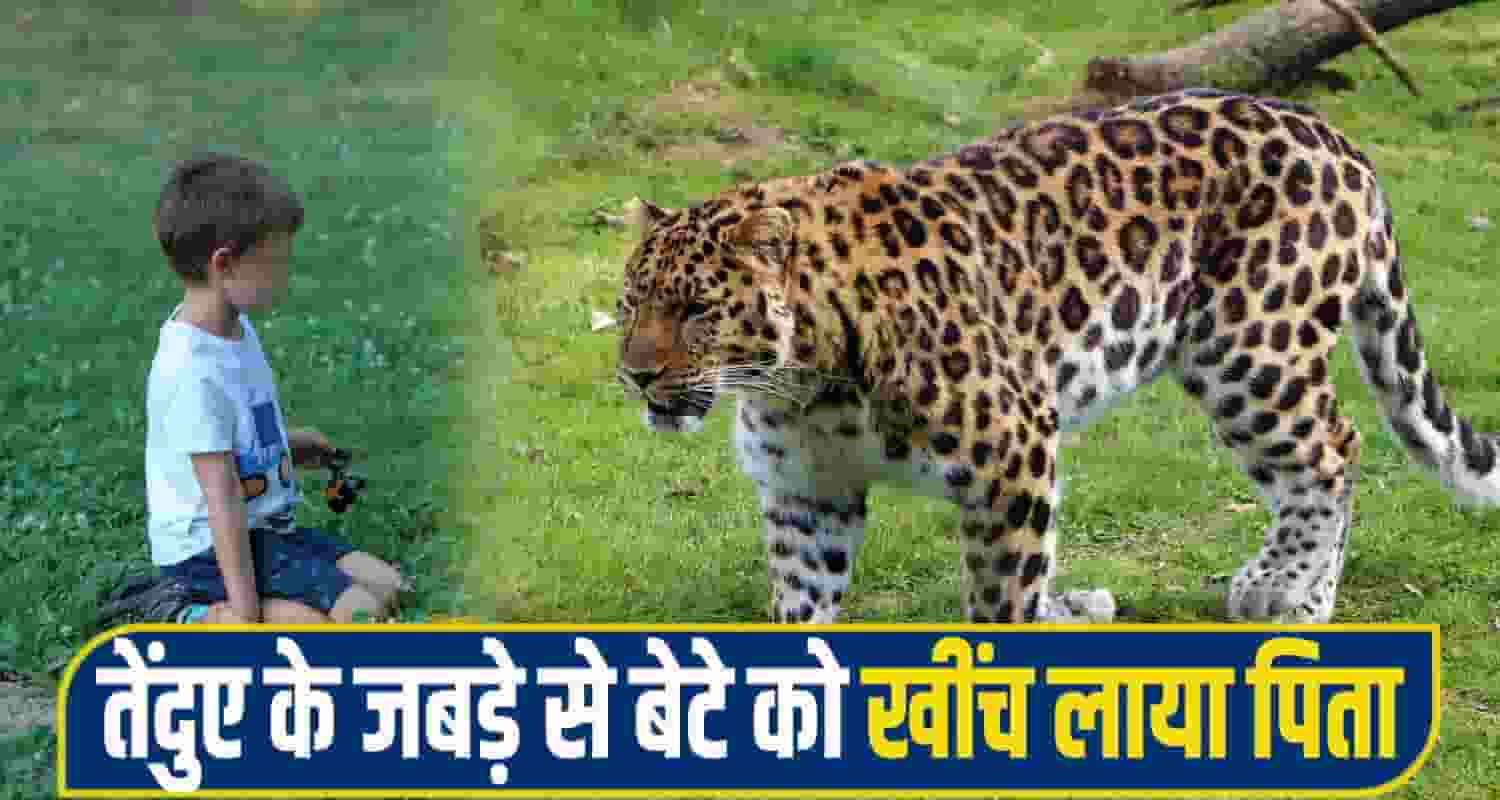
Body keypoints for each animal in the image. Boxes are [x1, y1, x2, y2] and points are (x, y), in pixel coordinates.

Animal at [613, 88, 1500, 626]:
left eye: (697, 311)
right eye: (629, 304)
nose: (637, 373)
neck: (801, 383)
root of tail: (1334, 135)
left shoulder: (1012, 453)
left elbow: (999, 602)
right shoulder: (807, 495)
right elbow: (802, 609)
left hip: (1251, 349)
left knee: (1333, 449)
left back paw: (1285, 590)